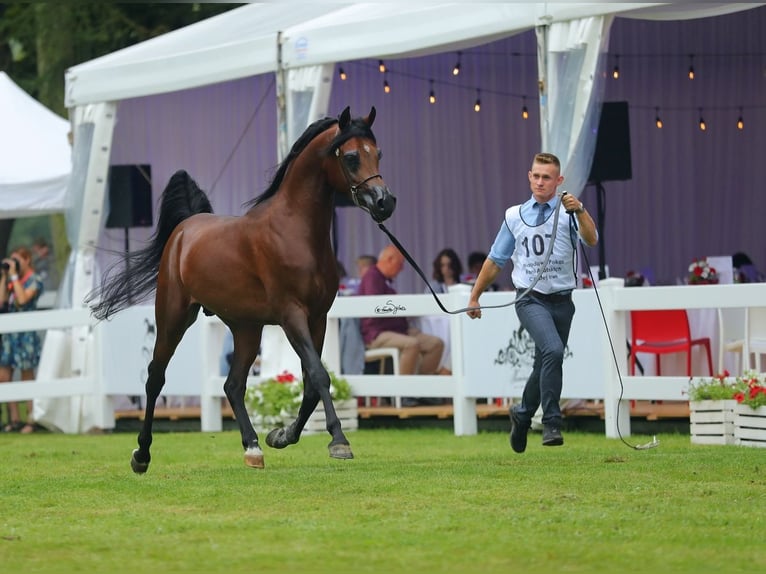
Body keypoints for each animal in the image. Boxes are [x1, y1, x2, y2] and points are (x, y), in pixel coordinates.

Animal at [87, 107, 396, 472]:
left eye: (377, 153)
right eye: (350, 157)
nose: (385, 203)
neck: (295, 231)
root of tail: (184, 229)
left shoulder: (318, 318)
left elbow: (309, 383)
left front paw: (280, 436)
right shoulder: (292, 316)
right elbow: (320, 376)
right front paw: (339, 441)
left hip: (246, 328)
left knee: (232, 385)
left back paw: (253, 447)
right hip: (173, 318)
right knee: (155, 378)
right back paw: (142, 455)